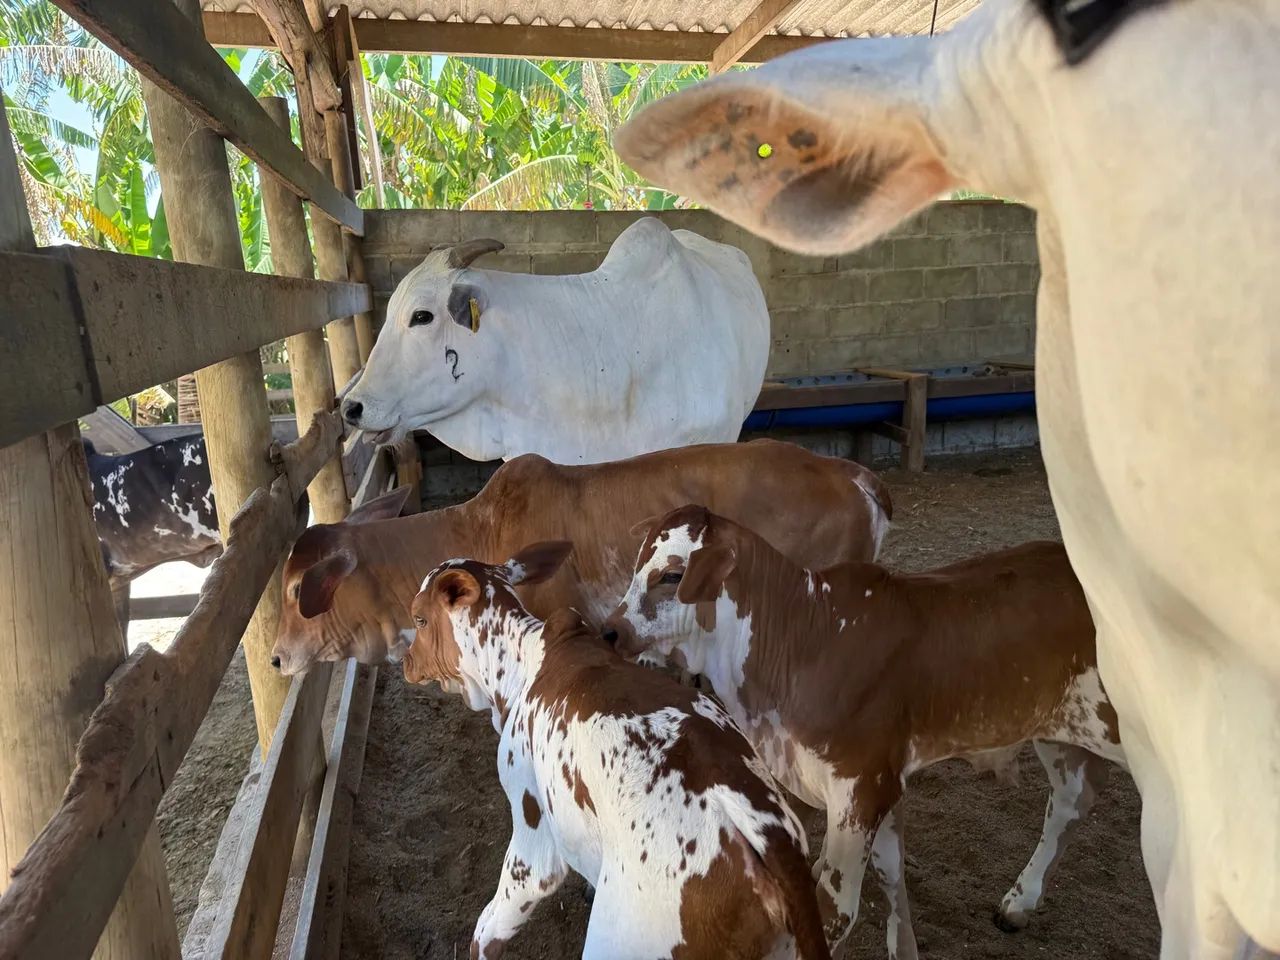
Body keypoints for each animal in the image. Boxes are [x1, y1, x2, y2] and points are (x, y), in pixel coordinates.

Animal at [403, 544, 831, 960]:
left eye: (419, 619)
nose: (406, 662)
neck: (523, 661)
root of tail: (763, 834)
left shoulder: (531, 830)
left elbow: (489, 927)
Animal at [603, 506, 1127, 957]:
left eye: (672, 575)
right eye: (637, 566)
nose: (609, 631)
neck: (805, 639)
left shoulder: (863, 785)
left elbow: (836, 909)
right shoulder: (882, 780)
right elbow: (891, 872)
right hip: (1058, 729)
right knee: (1071, 799)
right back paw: (1020, 901)